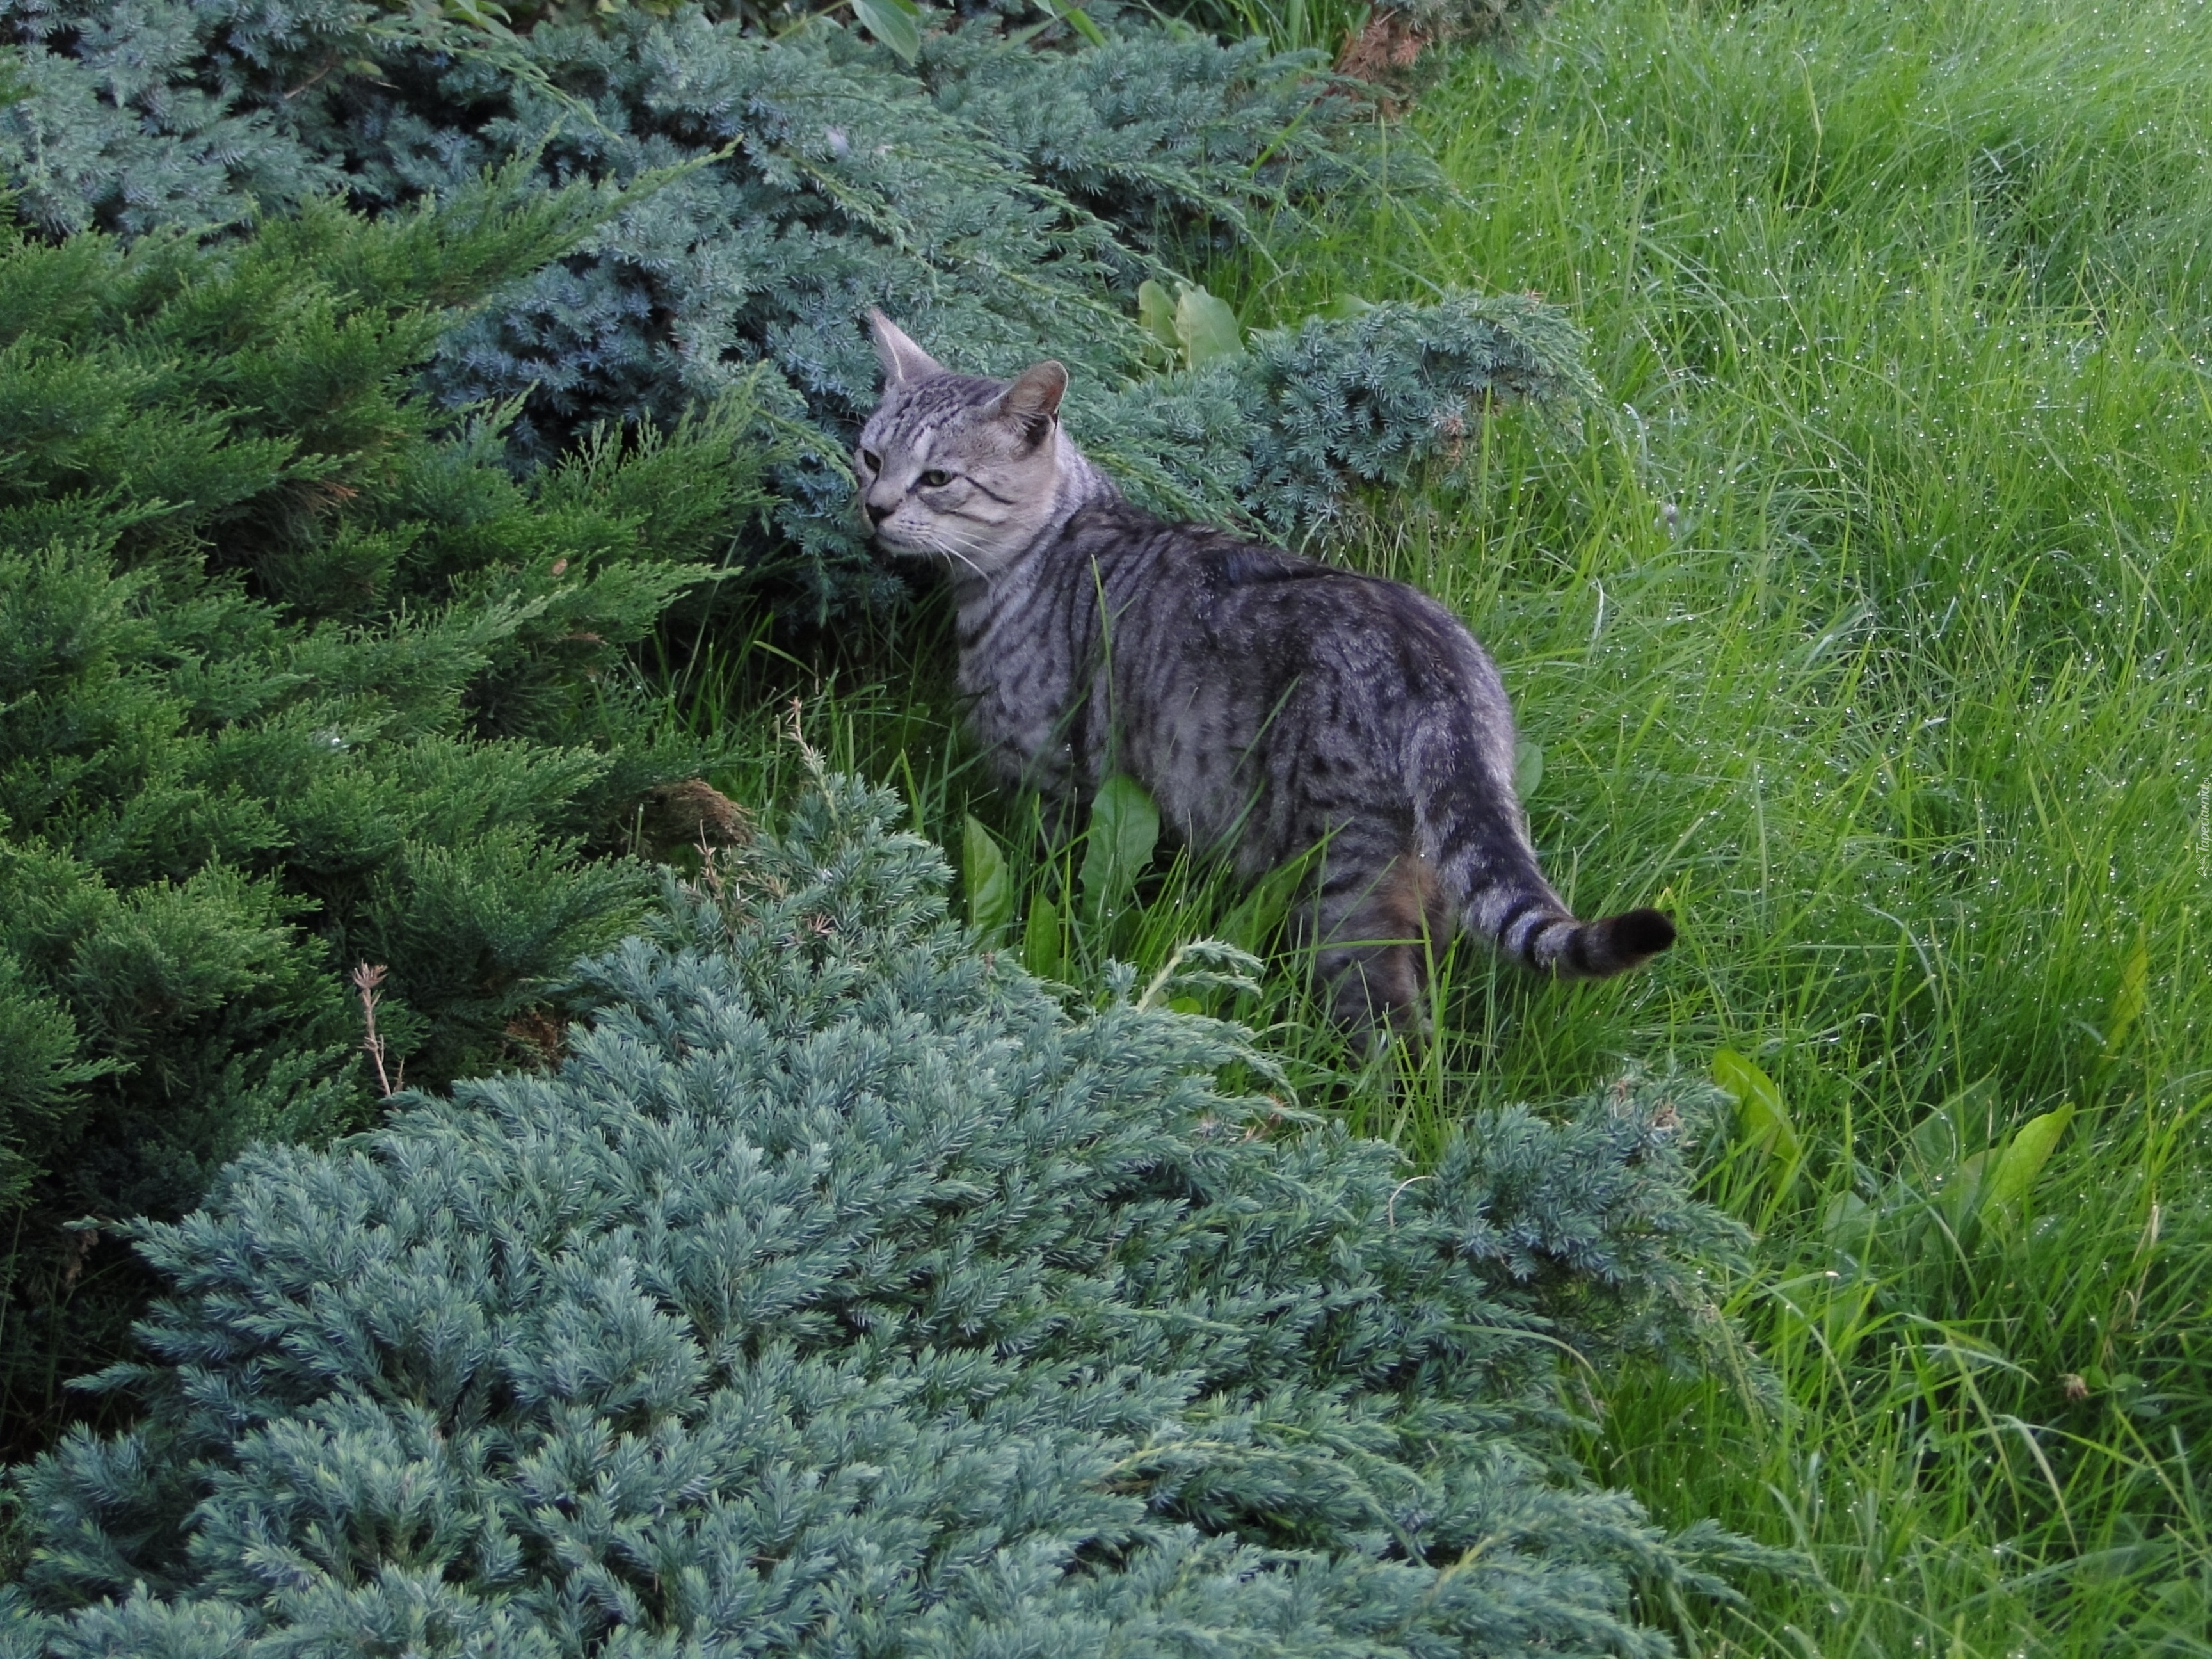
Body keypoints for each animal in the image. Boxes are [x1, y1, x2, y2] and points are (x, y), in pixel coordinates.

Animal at [854, 314, 1663, 1039]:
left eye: (938, 479)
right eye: (870, 457)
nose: (875, 507)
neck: (1042, 548)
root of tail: (1438, 669)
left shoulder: (1050, 782)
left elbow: (1047, 876)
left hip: (1343, 888)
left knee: (1394, 1028)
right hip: (1423, 876)